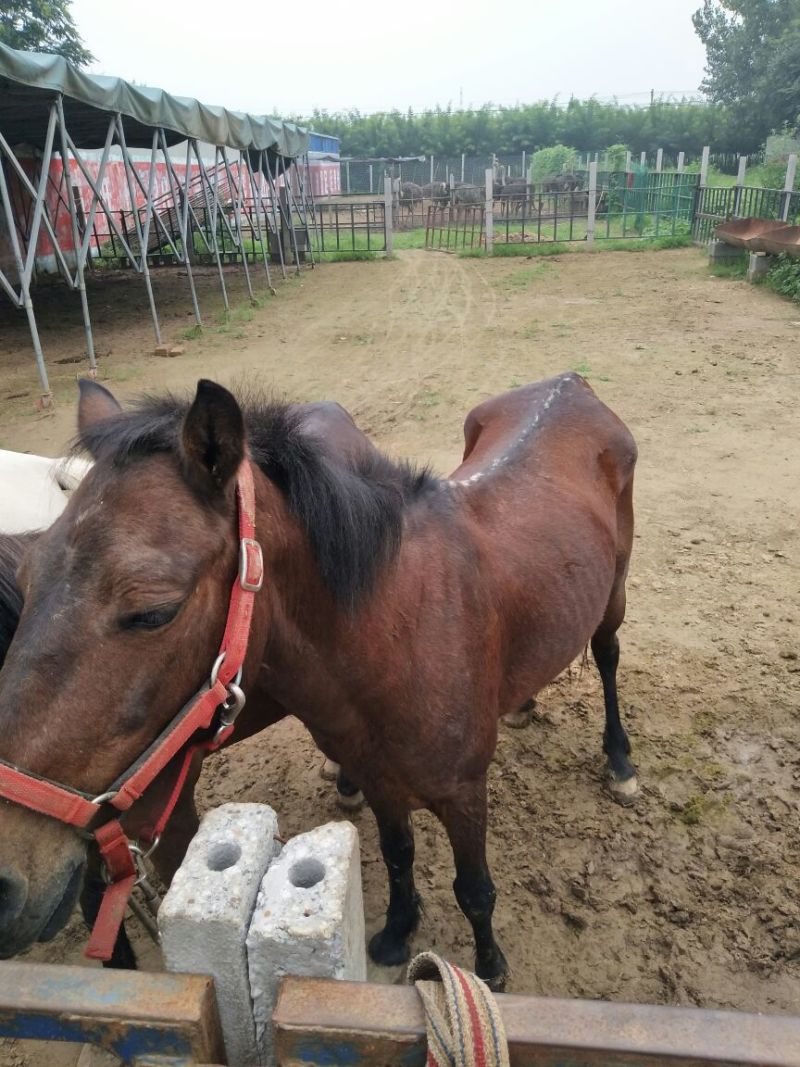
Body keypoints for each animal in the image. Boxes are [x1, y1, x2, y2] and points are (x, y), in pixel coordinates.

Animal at [0, 373, 638, 988]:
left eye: (155, 611)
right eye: (26, 578)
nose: (6, 881)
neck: (402, 632)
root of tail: (570, 383)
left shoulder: (463, 792)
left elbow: (474, 890)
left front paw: (490, 967)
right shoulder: (382, 780)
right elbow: (399, 854)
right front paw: (397, 932)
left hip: (613, 592)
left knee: (607, 654)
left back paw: (621, 763)